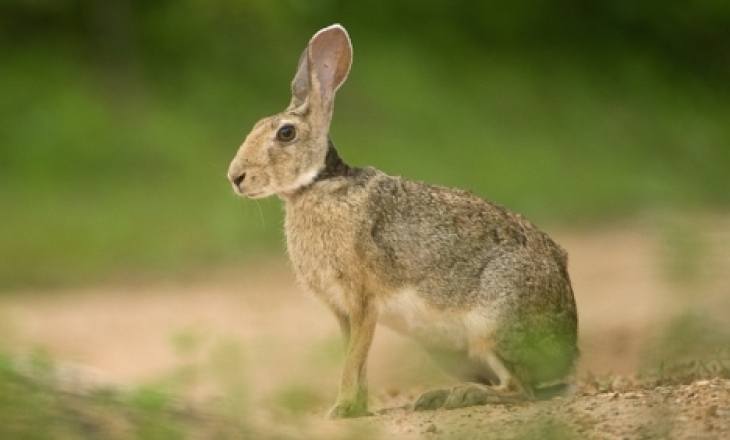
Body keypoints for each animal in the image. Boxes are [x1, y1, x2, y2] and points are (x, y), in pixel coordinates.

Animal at [227, 24, 578, 419]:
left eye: (285, 133)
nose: (236, 177)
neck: (318, 184)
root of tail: (567, 351)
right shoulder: (343, 311)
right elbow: (354, 357)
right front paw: (356, 407)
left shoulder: (364, 300)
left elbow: (353, 358)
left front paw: (341, 409)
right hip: (449, 352)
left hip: (494, 322)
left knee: (521, 390)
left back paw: (455, 397)